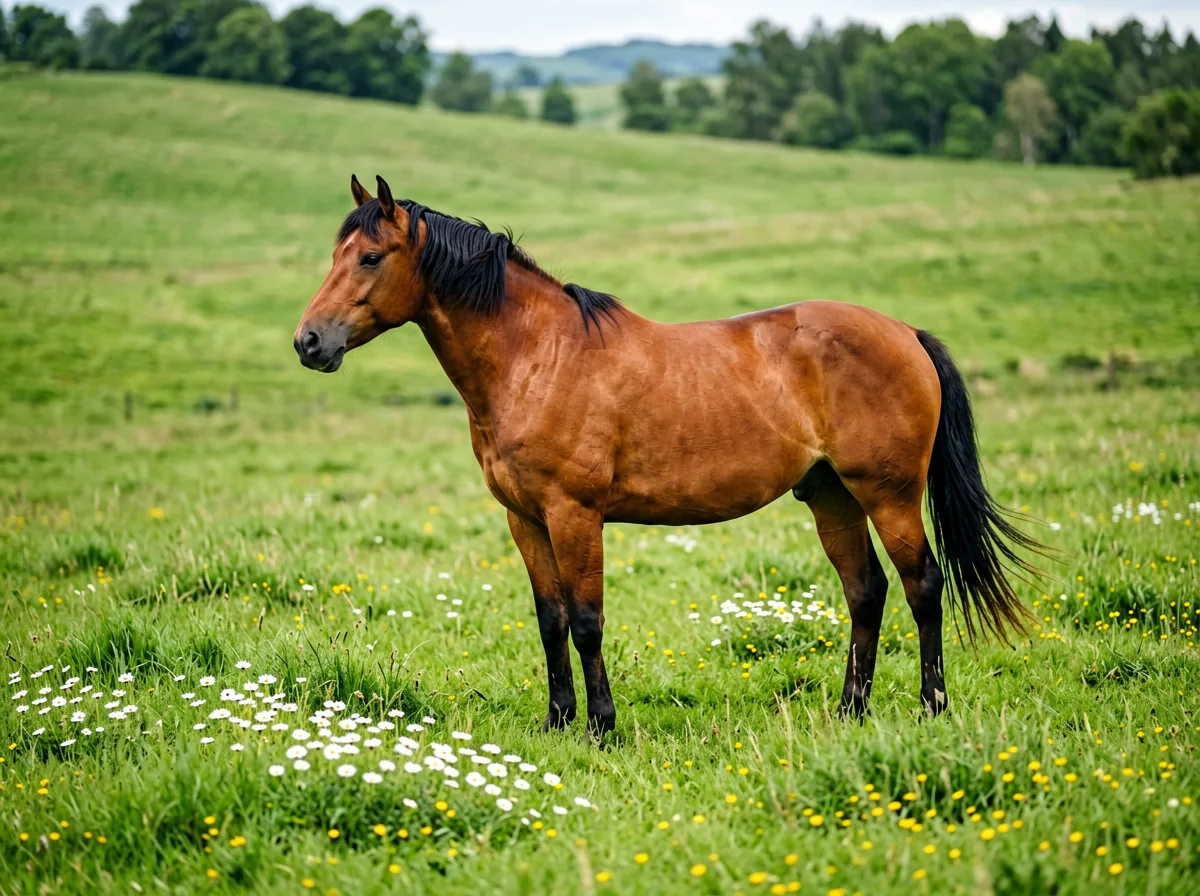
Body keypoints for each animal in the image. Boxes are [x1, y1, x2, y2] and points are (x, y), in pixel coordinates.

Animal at [294, 175, 1041, 738]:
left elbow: (587, 621)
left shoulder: (574, 514)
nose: (308, 342)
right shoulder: (525, 519)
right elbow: (550, 620)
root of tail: (904, 333)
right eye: (333, 254)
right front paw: (556, 722)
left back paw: (931, 708)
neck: (537, 357)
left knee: (923, 586)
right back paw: (848, 711)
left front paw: (600, 727)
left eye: (369, 257)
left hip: (888, 493)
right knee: (866, 591)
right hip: (831, 495)